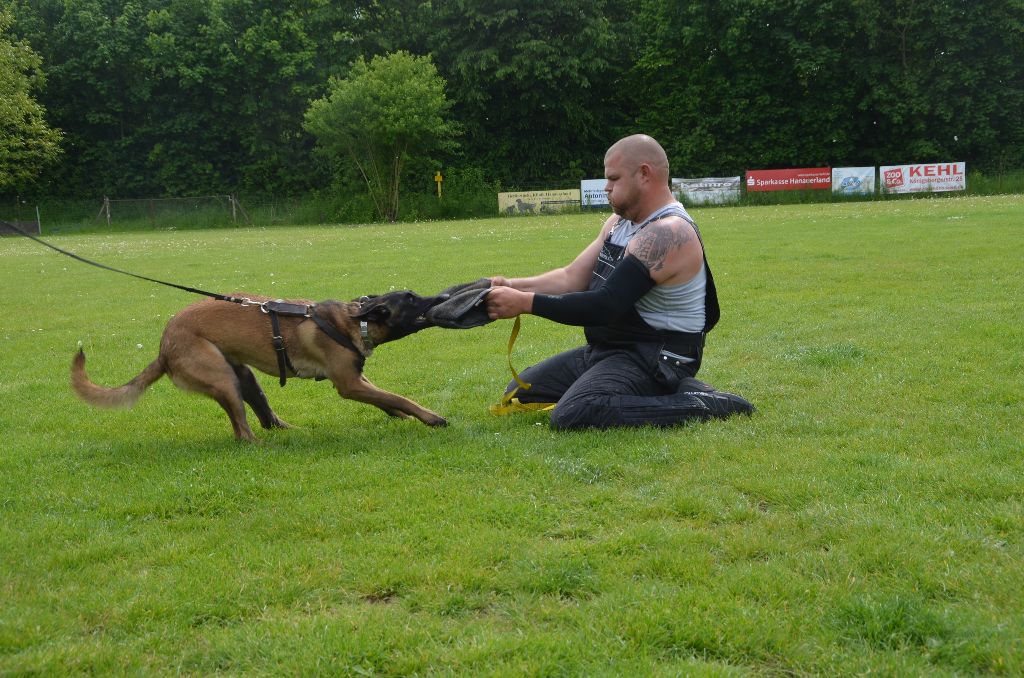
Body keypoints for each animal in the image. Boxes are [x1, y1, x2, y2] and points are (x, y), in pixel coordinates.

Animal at [72, 290, 448, 440]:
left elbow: (387, 399)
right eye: (411, 299)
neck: (354, 322)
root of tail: (164, 348)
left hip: (244, 376)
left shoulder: (357, 378)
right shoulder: (349, 384)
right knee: (243, 433)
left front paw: (402, 417)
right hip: (223, 378)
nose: (443, 297)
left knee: (267, 419)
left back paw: (291, 433)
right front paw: (430, 417)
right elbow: (398, 397)